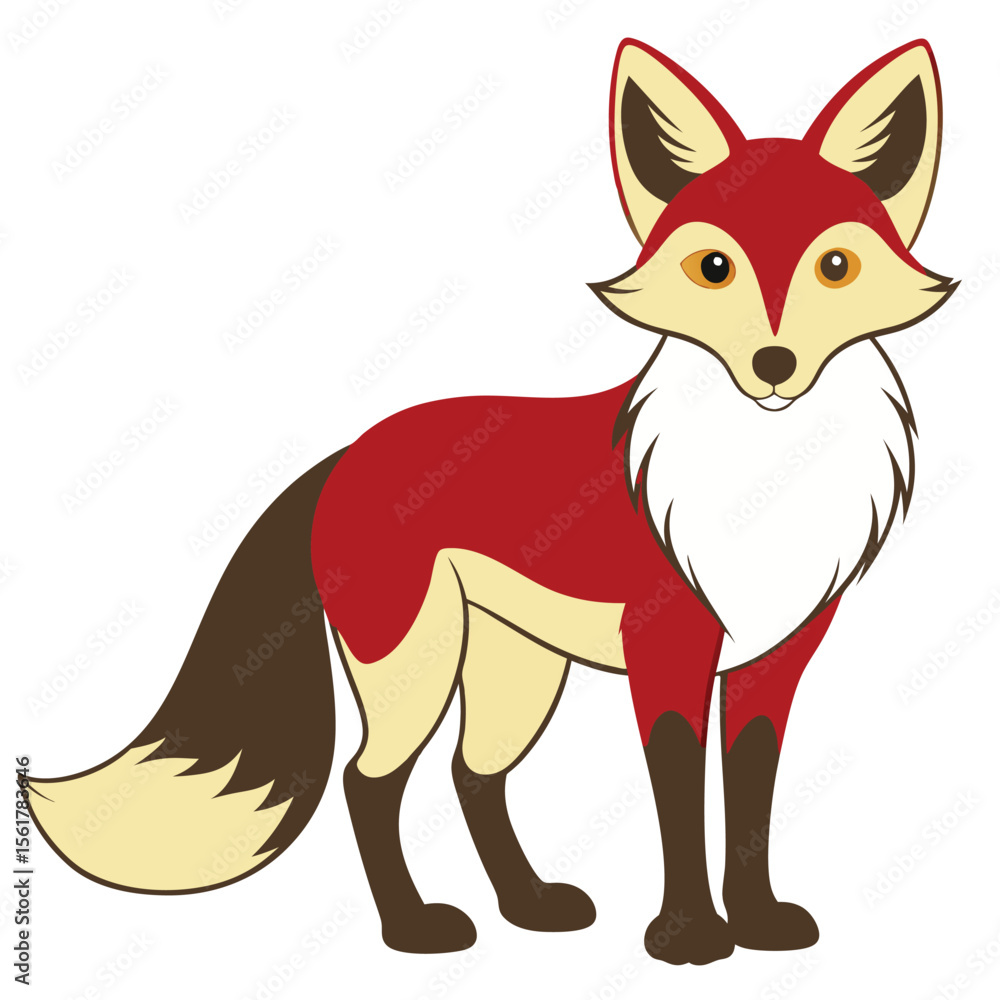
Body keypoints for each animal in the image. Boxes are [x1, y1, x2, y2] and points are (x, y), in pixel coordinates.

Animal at [27, 38, 956, 966]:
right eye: (713, 268)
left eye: (835, 267)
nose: (774, 366)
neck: (761, 490)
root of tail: (348, 451)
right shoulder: (667, 653)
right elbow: (678, 798)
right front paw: (688, 937)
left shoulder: (773, 661)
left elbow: (753, 796)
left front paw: (758, 922)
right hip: (413, 662)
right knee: (368, 782)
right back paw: (414, 929)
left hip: (519, 669)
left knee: (472, 775)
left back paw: (529, 907)